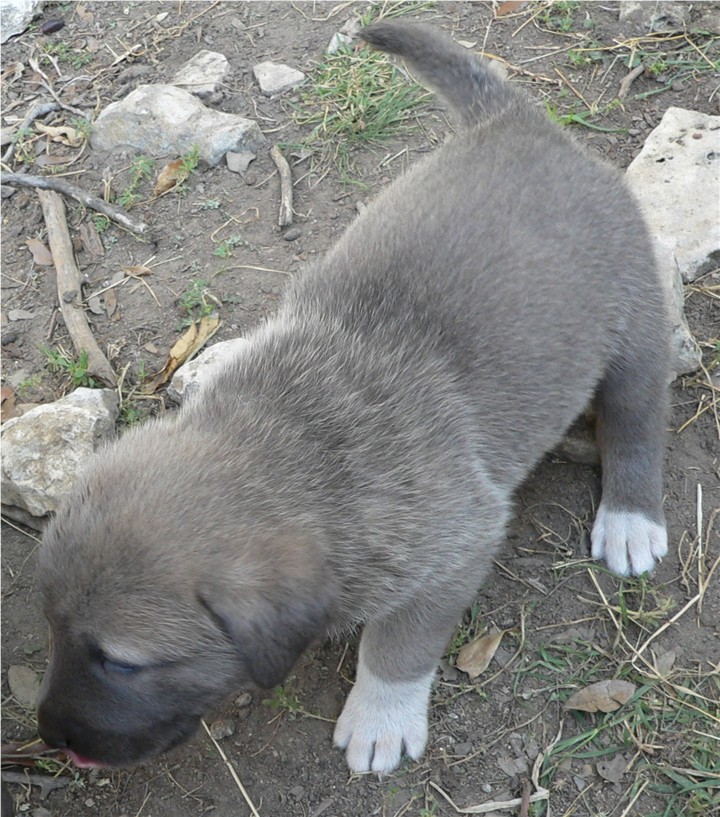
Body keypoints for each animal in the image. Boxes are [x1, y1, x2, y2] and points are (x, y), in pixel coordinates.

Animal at [38, 19, 668, 772]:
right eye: (53, 630)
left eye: (122, 662)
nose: (49, 734)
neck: (292, 442)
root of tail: (518, 122)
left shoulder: (455, 548)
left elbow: (399, 643)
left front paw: (381, 715)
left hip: (634, 326)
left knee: (637, 419)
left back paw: (632, 518)